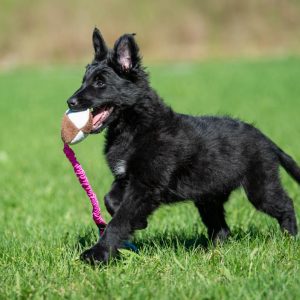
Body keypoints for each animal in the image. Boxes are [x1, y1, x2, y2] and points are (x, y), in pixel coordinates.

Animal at [67, 28, 298, 262]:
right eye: (84, 80)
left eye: (100, 83)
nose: (70, 102)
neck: (134, 126)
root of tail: (266, 139)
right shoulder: (127, 178)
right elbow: (110, 199)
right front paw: (139, 222)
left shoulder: (145, 184)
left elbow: (121, 219)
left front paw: (98, 254)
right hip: (209, 197)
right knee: (222, 229)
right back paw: (212, 253)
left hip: (260, 187)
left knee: (286, 204)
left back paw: (290, 239)